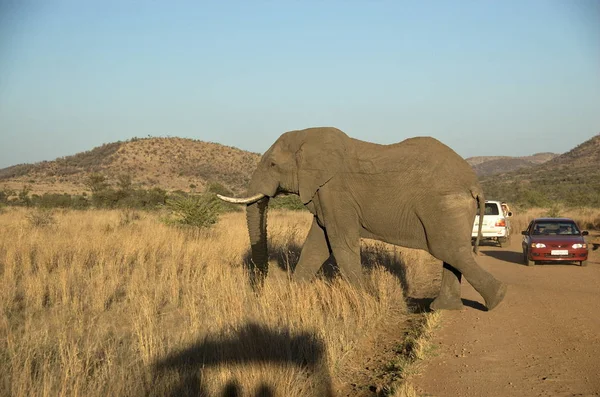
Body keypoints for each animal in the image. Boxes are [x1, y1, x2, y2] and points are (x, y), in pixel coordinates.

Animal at [217, 127, 506, 310]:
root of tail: (474, 183)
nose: (258, 293)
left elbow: (340, 243)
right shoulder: (324, 195)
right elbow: (316, 245)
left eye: (273, 165)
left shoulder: (335, 191)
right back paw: (443, 309)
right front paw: (291, 297)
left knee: (447, 249)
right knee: (451, 251)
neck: (309, 137)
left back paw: (497, 300)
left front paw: (368, 300)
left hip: (444, 204)